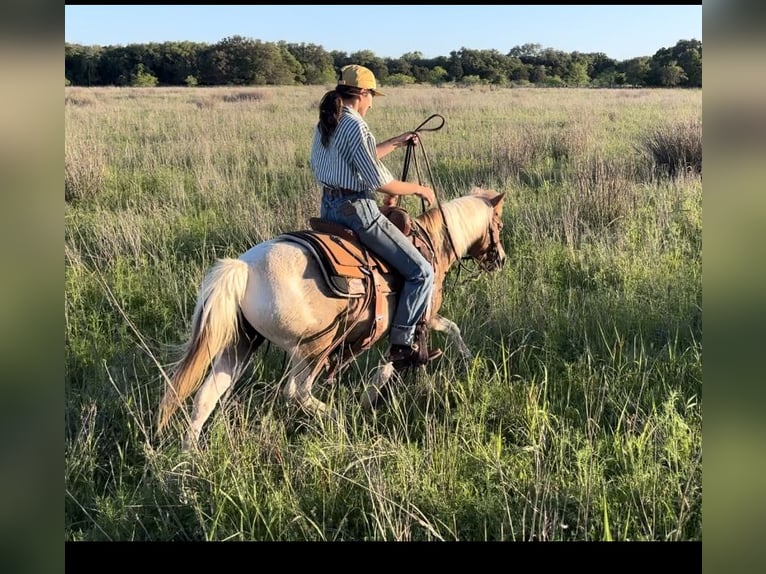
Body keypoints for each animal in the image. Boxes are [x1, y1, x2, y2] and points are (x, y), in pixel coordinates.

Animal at [158, 189, 504, 450]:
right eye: (498, 224)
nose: (499, 259)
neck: (432, 245)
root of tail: (244, 269)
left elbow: (431, 339)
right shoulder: (421, 315)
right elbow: (404, 355)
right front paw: (369, 396)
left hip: (240, 345)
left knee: (205, 397)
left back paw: (189, 459)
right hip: (313, 348)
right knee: (296, 392)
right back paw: (338, 417)